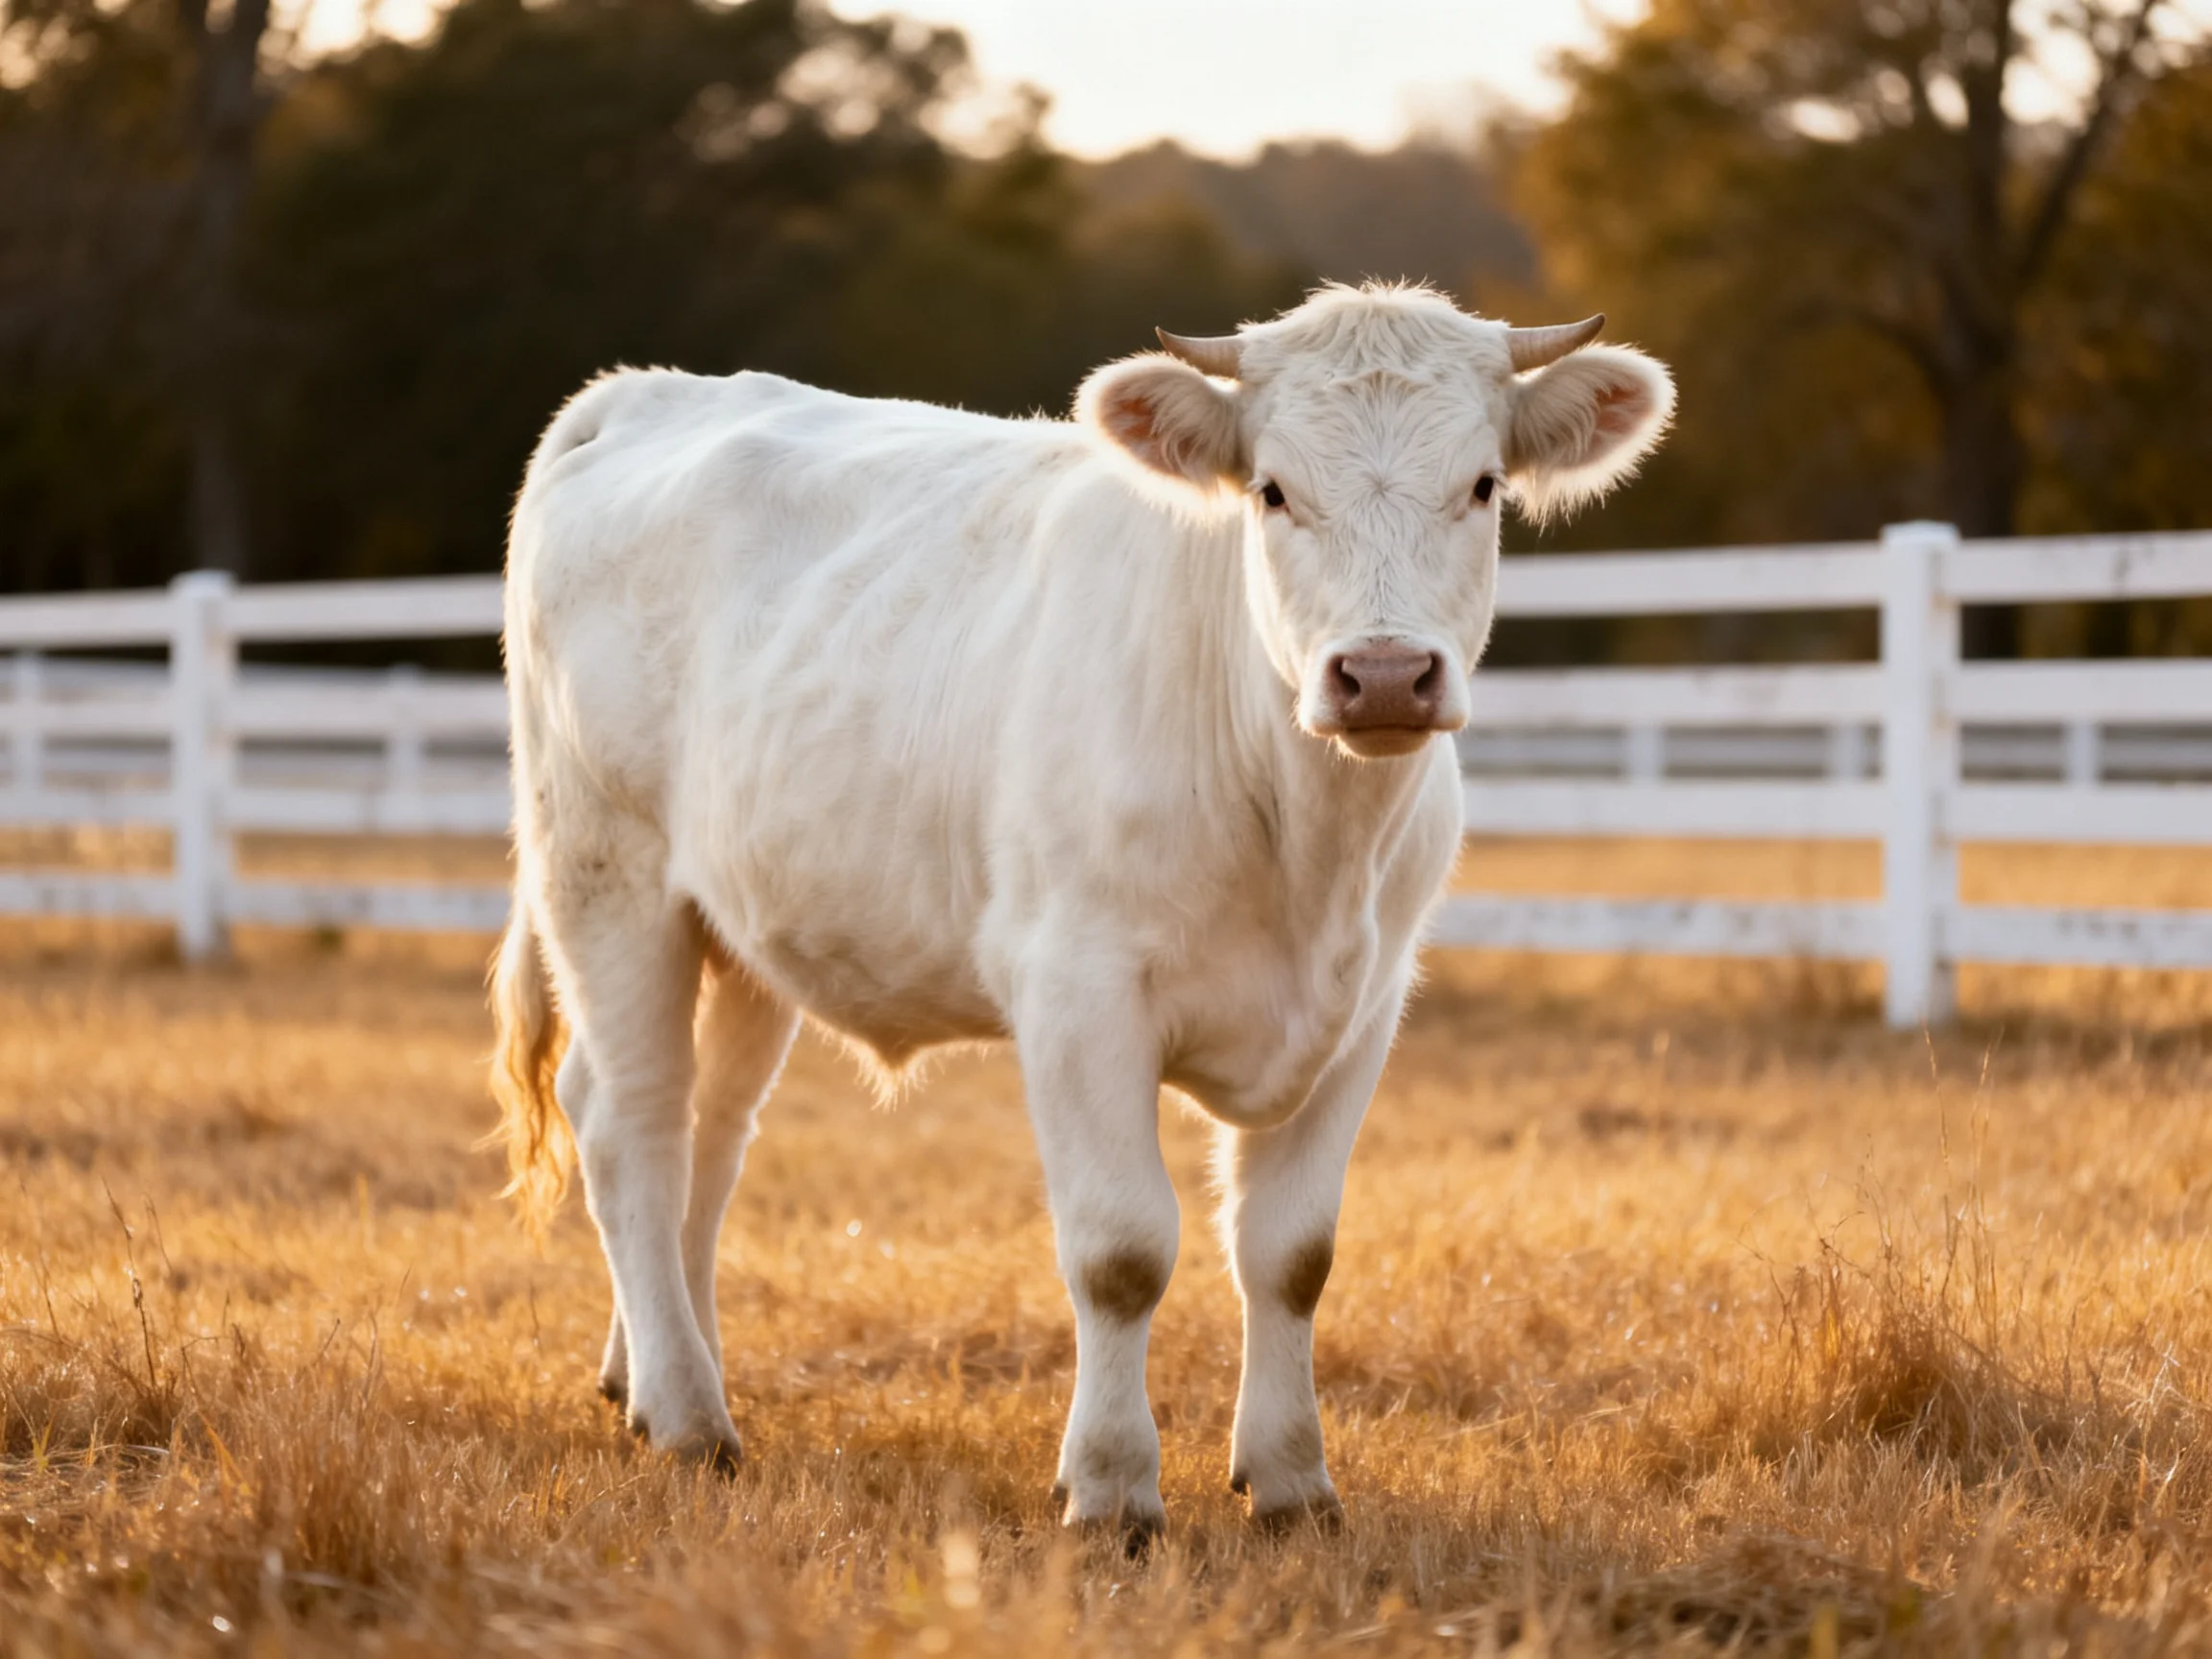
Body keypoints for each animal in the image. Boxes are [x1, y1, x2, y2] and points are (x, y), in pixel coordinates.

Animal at [490, 282, 1673, 1541]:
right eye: (1272, 490)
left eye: (1484, 485)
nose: (1387, 675)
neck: (1306, 843)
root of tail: (644, 393)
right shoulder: (1075, 991)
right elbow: (1121, 1251)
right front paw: (1110, 1489)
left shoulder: (1365, 1005)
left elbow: (1293, 1253)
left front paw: (1292, 1481)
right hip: (607, 878)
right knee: (633, 1129)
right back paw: (687, 1417)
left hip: (743, 927)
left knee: (705, 1140)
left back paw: (648, 1376)